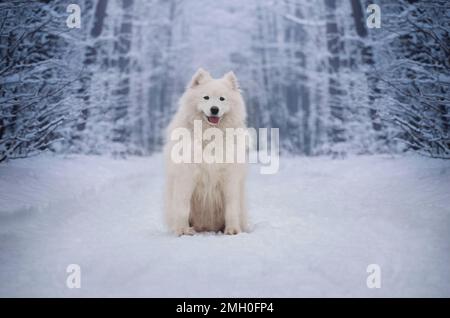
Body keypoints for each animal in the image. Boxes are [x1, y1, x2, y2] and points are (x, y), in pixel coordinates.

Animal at [165, 67, 248, 236]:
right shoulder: (186, 174)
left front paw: (232, 230)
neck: (210, 136)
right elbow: (183, 206)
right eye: (206, 97)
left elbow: (231, 206)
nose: (214, 109)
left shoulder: (230, 176)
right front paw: (182, 230)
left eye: (222, 99)